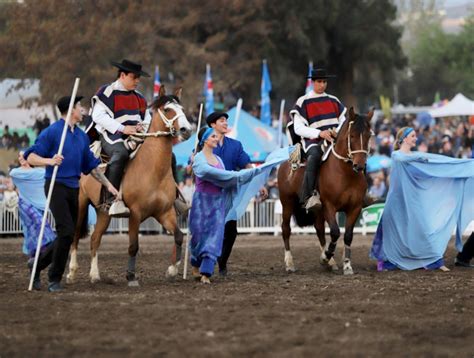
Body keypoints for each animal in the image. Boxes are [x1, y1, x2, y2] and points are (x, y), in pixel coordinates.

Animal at [67, 86, 193, 286]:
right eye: (167, 109)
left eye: (181, 108)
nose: (186, 130)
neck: (152, 169)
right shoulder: (135, 213)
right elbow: (133, 245)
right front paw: (131, 276)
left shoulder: (165, 213)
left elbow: (179, 236)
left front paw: (172, 270)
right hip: (80, 205)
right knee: (75, 236)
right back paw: (71, 273)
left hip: (103, 213)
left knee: (95, 239)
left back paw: (95, 275)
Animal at [278, 107, 374, 276]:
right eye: (352, 135)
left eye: (369, 135)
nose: (359, 166)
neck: (345, 173)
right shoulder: (329, 206)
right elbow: (335, 232)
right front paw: (325, 257)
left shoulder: (354, 208)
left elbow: (348, 235)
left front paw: (346, 265)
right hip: (287, 204)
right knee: (286, 229)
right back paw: (290, 263)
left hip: (317, 211)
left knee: (319, 230)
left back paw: (331, 263)